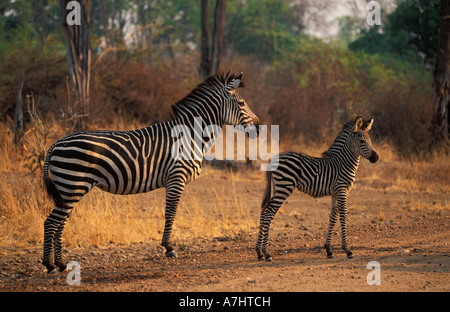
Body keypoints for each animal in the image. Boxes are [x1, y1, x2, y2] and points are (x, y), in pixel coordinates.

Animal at [43, 72, 260, 272]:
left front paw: (167, 246)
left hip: (68, 189)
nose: (259, 127)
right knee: (50, 222)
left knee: (60, 223)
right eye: (241, 103)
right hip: (72, 185)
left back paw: (61, 264)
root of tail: (56, 143)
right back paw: (50, 265)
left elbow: (170, 212)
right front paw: (169, 248)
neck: (191, 135)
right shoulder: (176, 177)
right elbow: (171, 212)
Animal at [255, 117, 378, 260]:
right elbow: (343, 216)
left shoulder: (335, 193)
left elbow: (333, 217)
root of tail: (273, 159)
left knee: (264, 211)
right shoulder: (342, 190)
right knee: (268, 213)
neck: (343, 163)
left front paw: (328, 250)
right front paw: (347, 250)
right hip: (284, 187)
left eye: (370, 141)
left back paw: (259, 252)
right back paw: (266, 253)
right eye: (362, 141)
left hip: (278, 188)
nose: (376, 158)